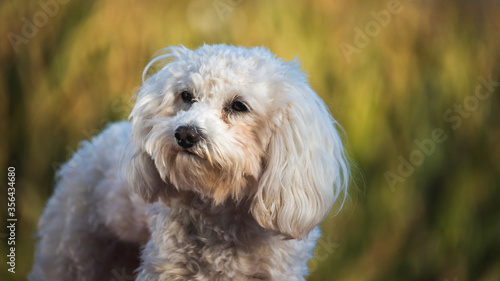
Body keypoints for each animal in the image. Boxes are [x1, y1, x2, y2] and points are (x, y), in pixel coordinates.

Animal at [29, 44, 350, 278]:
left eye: (239, 106)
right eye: (186, 96)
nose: (185, 133)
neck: (223, 210)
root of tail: (93, 141)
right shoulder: (166, 267)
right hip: (71, 253)